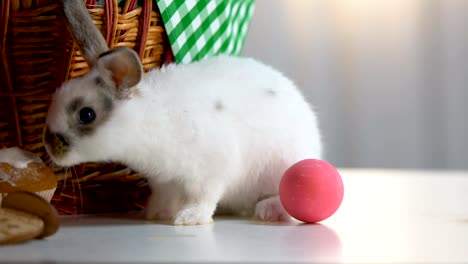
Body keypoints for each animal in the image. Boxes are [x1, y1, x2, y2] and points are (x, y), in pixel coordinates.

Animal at [45, 0, 324, 225]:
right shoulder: (163, 181)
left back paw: (267, 210)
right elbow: (164, 196)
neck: (146, 120)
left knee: (287, 201)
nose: (48, 145)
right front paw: (154, 213)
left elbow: (205, 197)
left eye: (86, 115)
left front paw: (189, 218)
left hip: (288, 164)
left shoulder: (212, 170)